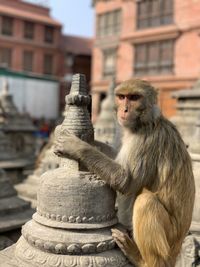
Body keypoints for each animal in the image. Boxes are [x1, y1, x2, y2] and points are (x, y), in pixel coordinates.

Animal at [54, 78, 195, 266]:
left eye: (134, 97)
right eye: (122, 97)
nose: (125, 109)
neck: (145, 122)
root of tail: (177, 250)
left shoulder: (145, 141)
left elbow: (125, 180)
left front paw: (76, 146)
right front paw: (95, 143)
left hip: (168, 242)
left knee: (145, 201)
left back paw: (141, 259)